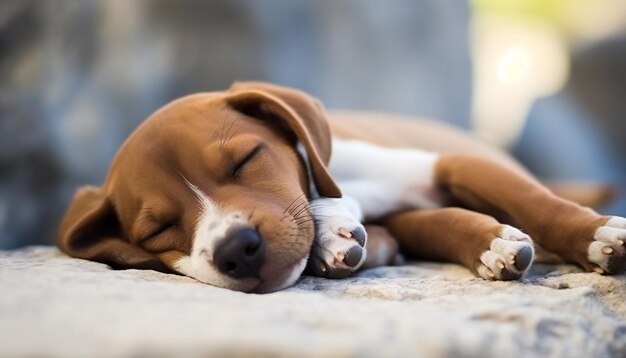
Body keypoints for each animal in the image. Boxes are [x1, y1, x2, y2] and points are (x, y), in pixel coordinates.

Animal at [57, 82, 624, 292]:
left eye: (246, 160)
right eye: (158, 232)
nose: (236, 250)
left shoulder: (453, 165)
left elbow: (537, 204)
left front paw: (596, 237)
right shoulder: (408, 215)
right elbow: (438, 224)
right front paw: (489, 244)